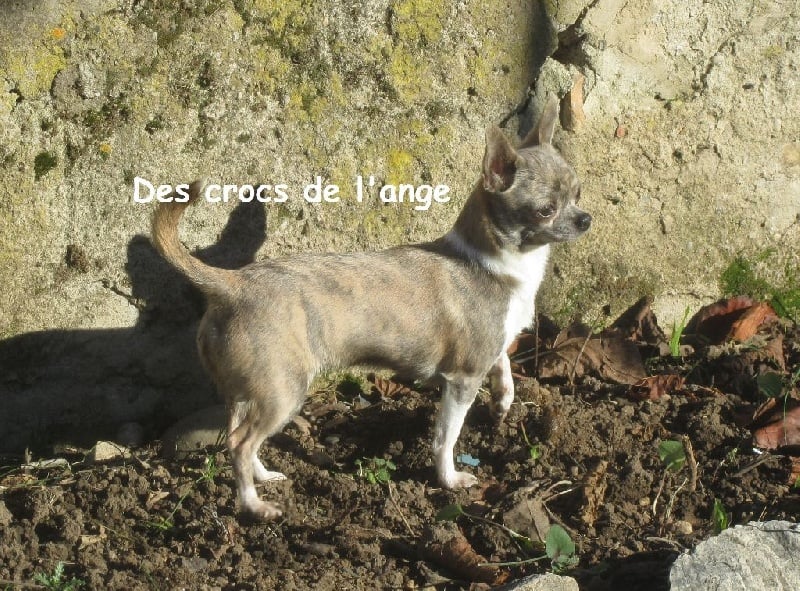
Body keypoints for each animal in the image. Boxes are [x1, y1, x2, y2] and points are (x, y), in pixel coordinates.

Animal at [151, 95, 591, 520]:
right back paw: (253, 505)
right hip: (282, 391)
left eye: (578, 194)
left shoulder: (491, 345)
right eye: (545, 210)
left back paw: (263, 477)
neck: (496, 262)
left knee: (235, 434)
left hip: (248, 390)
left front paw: (503, 402)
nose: (585, 219)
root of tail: (232, 283)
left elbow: (505, 366)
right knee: (241, 444)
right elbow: (445, 436)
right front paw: (449, 480)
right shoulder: (462, 378)